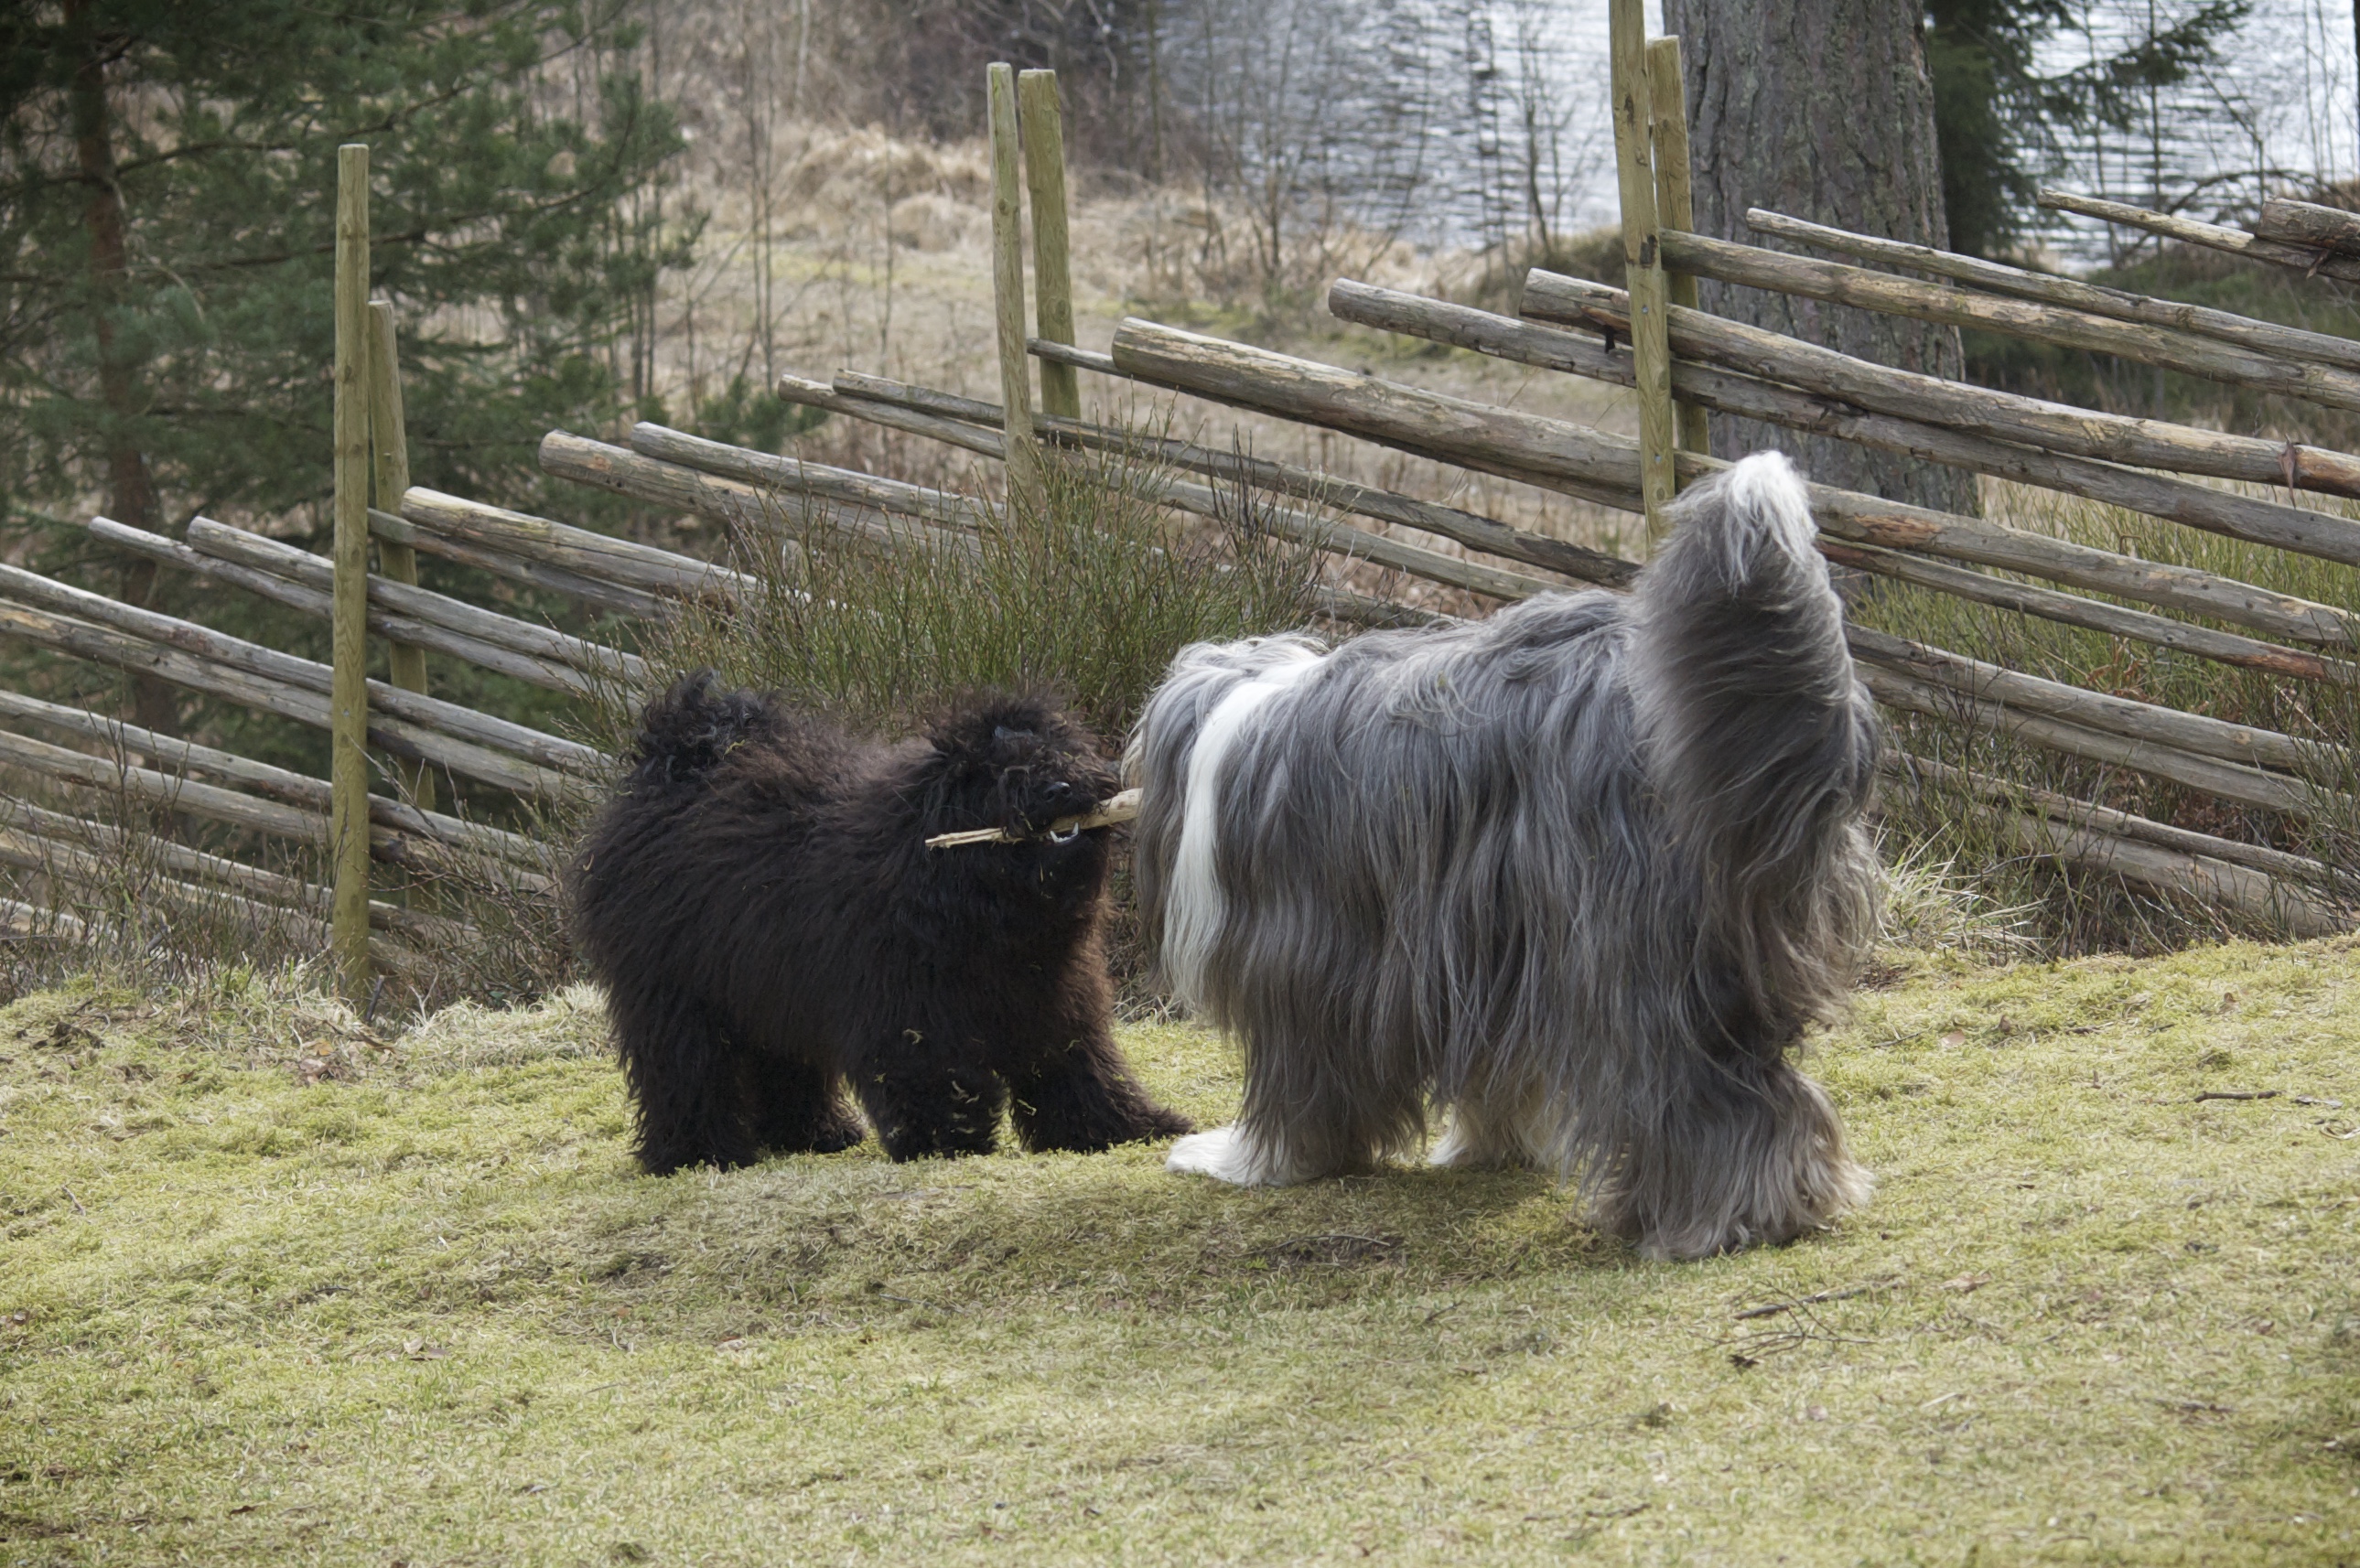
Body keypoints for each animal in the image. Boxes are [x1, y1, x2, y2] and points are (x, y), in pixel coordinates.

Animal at [569, 676, 1191, 1174]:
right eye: (996, 772)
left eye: (1061, 750)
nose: (1059, 789)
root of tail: (675, 759)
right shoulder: (908, 1010)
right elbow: (932, 1077)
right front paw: (948, 1144)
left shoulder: (1053, 1000)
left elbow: (1079, 1071)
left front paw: (1129, 1128)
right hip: (674, 995)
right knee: (685, 1072)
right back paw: (697, 1155)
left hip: (767, 988)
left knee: (783, 1068)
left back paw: (816, 1134)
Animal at [1127, 453, 1879, 1259]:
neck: (1234, 728)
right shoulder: (1483, 938)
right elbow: (1498, 1065)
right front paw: (1494, 1146)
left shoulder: (1309, 961)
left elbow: (1304, 1081)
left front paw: (1247, 1159)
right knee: (1751, 1072)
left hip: (1623, 936)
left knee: (1684, 1077)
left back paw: (1709, 1221)